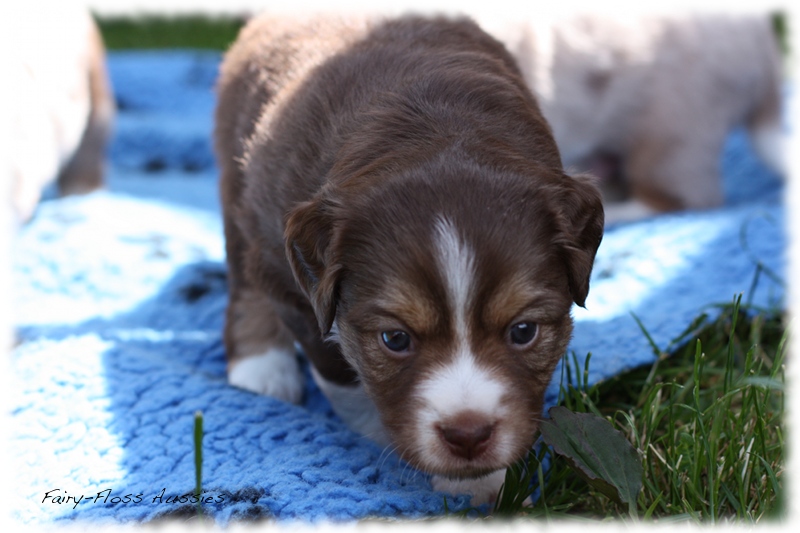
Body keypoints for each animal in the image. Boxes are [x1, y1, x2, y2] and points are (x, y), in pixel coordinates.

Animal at [216, 12, 604, 502]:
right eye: (395, 340)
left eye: (523, 332)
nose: (467, 434)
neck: (437, 129)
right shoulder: (292, 280)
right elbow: (341, 373)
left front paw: (482, 483)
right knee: (243, 275)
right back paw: (261, 368)